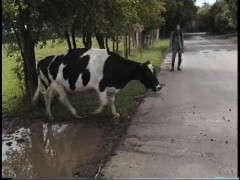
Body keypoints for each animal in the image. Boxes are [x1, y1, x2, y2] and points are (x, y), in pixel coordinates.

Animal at [32, 47, 162, 119]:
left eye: (154, 71)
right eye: (148, 73)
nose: (159, 87)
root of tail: (43, 60)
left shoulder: (112, 88)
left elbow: (112, 101)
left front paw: (115, 114)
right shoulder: (100, 87)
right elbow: (104, 102)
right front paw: (95, 113)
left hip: (52, 85)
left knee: (47, 96)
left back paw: (50, 115)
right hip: (58, 84)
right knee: (63, 98)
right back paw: (75, 114)